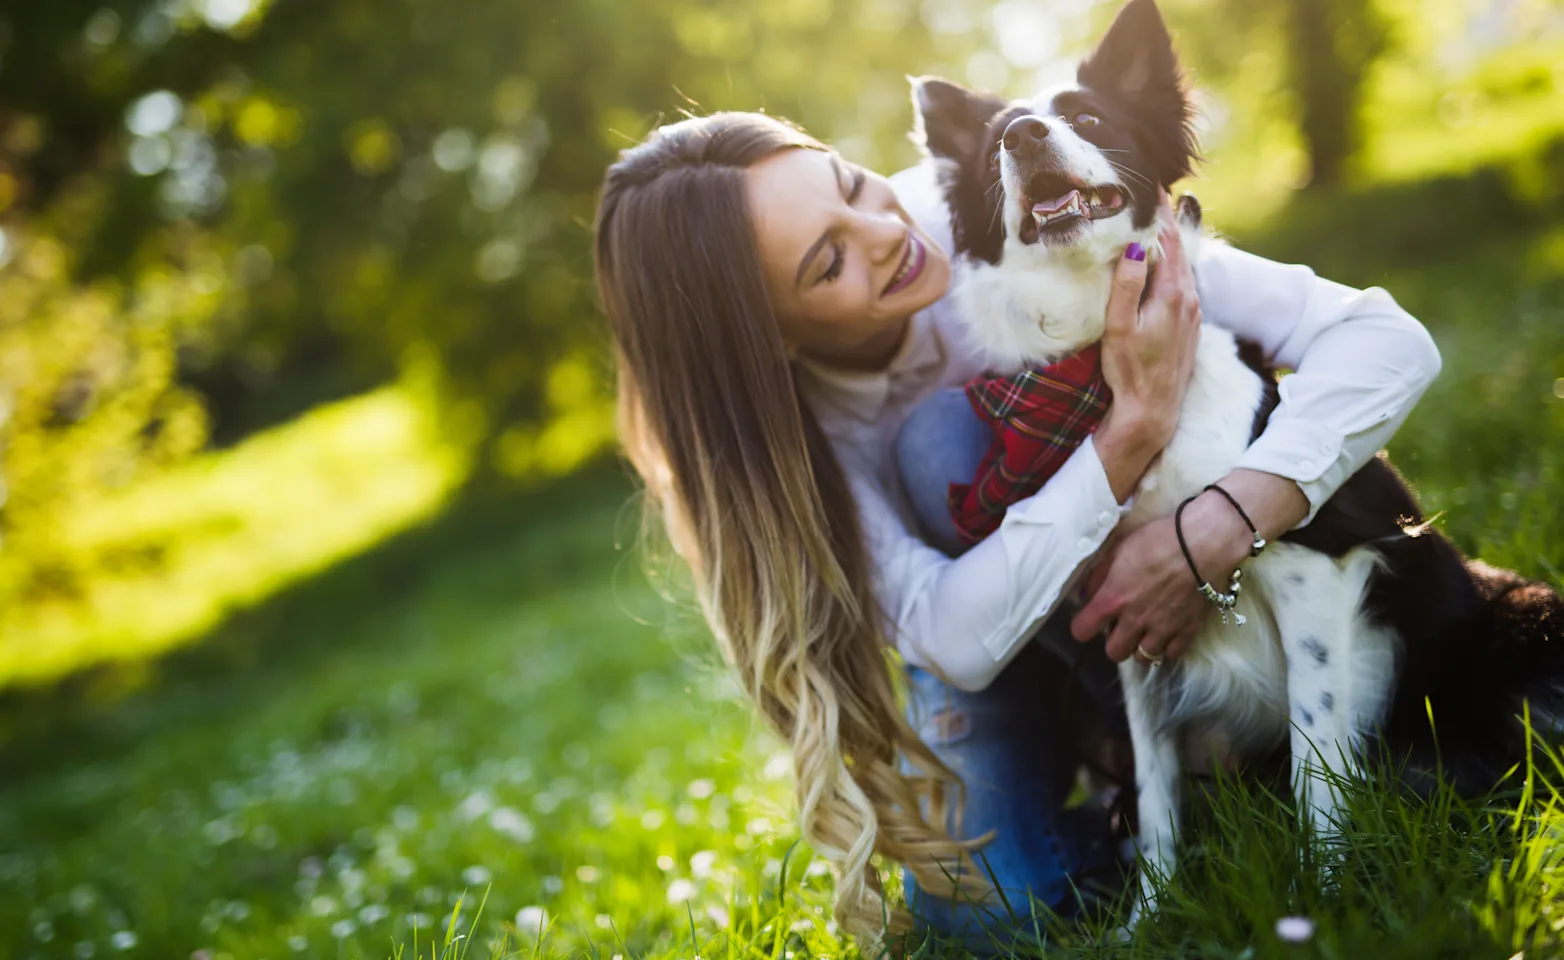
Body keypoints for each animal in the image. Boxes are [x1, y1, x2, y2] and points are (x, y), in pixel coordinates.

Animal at [913, 0, 1564, 931]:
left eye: (1089, 121)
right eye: (998, 140)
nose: (1026, 136)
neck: (1104, 370)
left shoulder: (1316, 574)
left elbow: (1316, 762)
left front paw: (1327, 897)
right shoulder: (1127, 630)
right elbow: (1155, 800)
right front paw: (1149, 921)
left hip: (1527, 623)